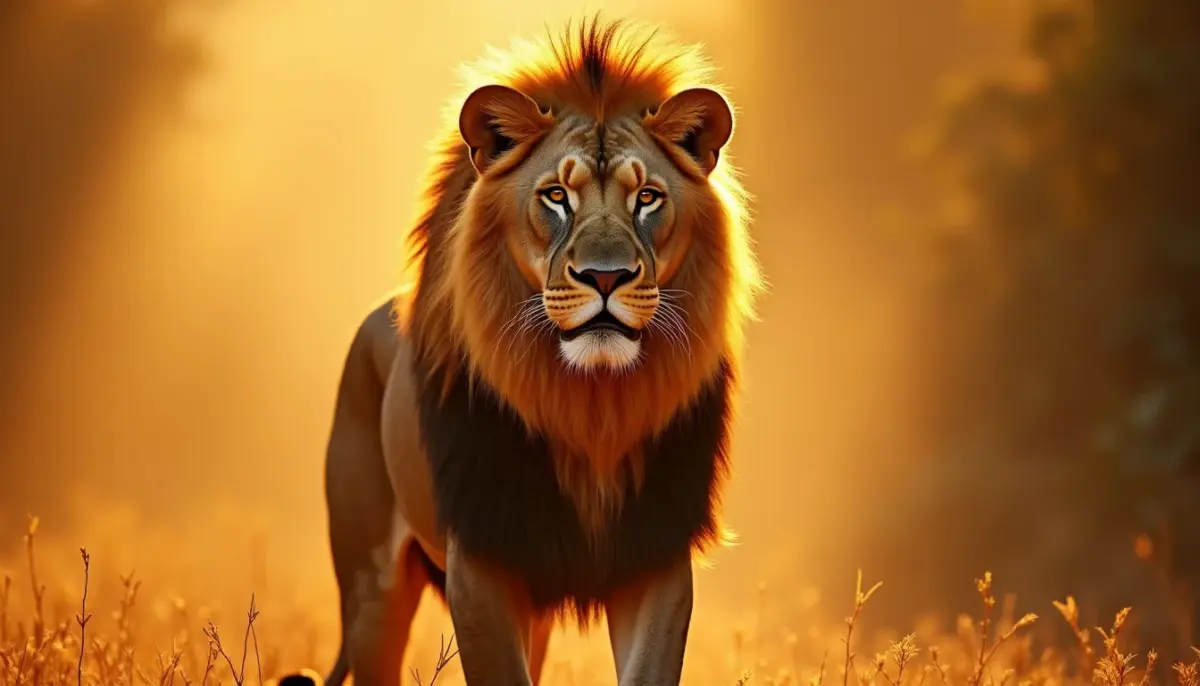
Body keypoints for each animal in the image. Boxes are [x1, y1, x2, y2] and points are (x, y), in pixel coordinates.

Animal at [280, 15, 761, 686]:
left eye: (647, 199)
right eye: (556, 195)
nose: (606, 276)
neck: (591, 406)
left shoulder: (655, 549)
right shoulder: (482, 556)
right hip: (372, 589)